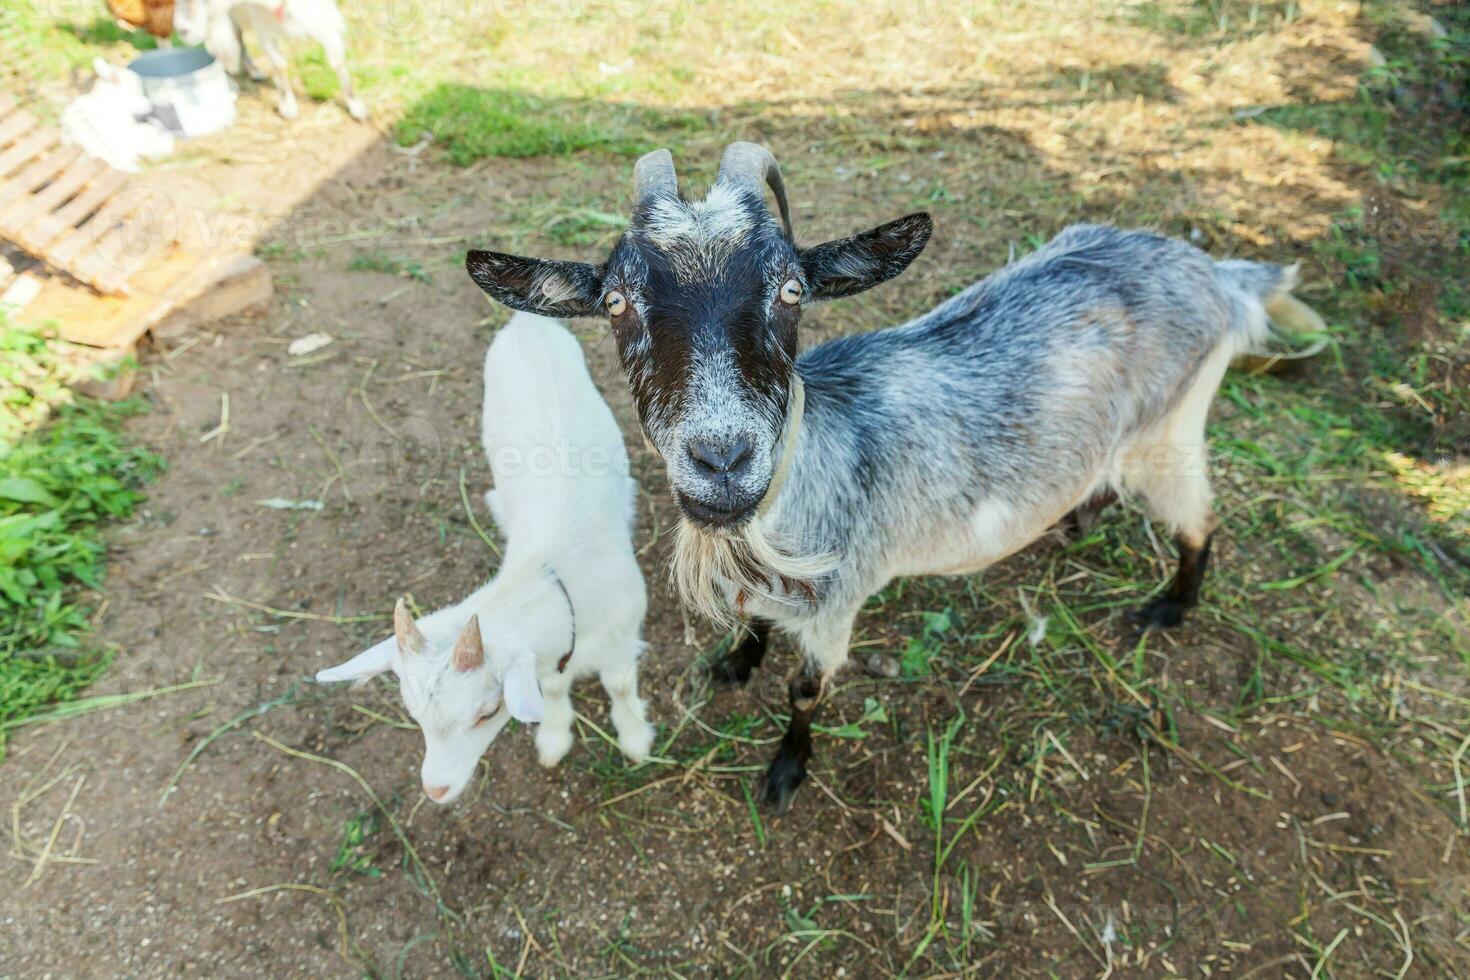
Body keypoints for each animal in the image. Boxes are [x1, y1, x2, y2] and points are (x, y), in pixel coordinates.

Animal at [173, 0, 367, 121]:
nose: (182, 31)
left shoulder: (321, 21)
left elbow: (338, 62)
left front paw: (357, 107)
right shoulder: (264, 31)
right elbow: (279, 65)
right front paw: (288, 107)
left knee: (239, 40)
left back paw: (253, 71)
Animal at [317, 314, 655, 805]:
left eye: (487, 712)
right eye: (414, 716)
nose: (436, 789)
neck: (548, 578)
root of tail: (525, 321)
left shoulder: (623, 634)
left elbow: (621, 685)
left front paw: (635, 739)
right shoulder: (548, 657)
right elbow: (553, 689)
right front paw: (554, 738)